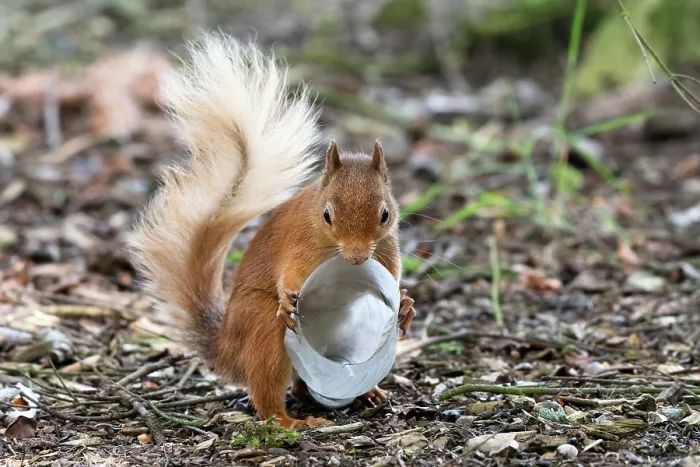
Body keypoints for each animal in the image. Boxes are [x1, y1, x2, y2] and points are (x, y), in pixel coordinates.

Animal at [128, 33, 416, 430]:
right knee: (267, 393)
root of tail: (227, 349)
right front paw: (287, 299)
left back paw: (365, 392)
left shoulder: (386, 247)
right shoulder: (300, 244)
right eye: (327, 215)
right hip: (263, 331)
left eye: (385, 214)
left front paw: (405, 305)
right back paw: (290, 420)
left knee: (303, 385)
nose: (358, 258)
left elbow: (392, 276)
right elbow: (289, 273)